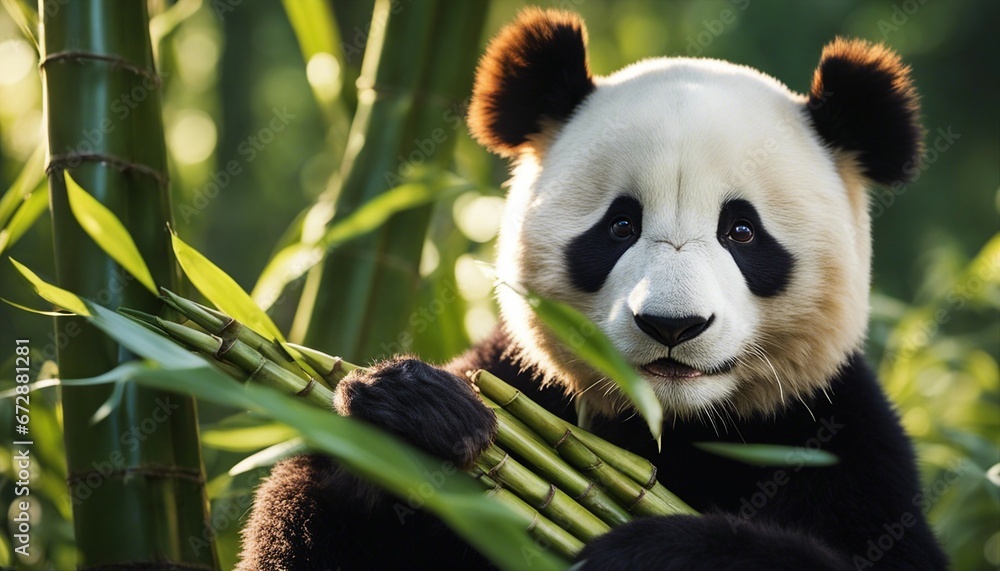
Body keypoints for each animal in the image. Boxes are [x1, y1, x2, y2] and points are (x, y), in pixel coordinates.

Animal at [238, 8, 947, 571]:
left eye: (742, 232)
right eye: (620, 225)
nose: (672, 325)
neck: (667, 429)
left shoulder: (837, 443)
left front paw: (655, 549)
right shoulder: (520, 378)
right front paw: (413, 414)